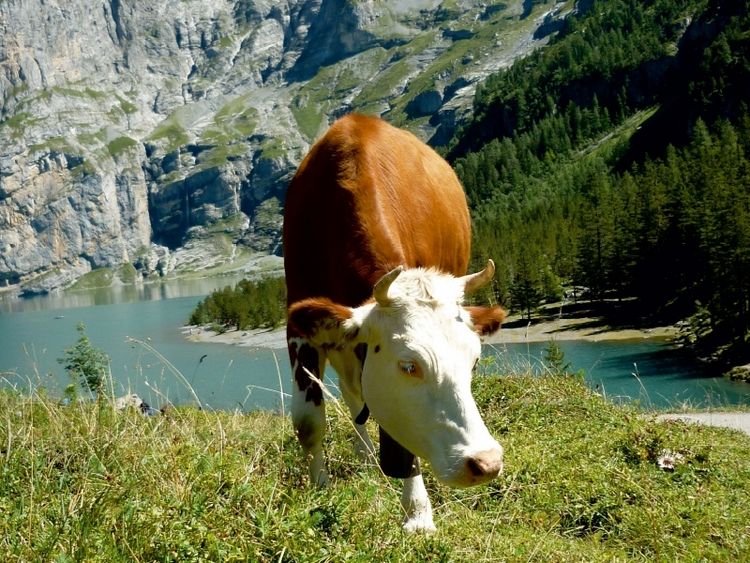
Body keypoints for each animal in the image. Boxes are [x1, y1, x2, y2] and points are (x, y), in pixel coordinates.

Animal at [283, 113, 506, 532]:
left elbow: (400, 440)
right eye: (409, 365)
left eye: (474, 362)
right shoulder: (300, 323)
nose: (485, 463)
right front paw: (318, 489)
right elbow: (308, 421)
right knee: (353, 393)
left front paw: (418, 513)